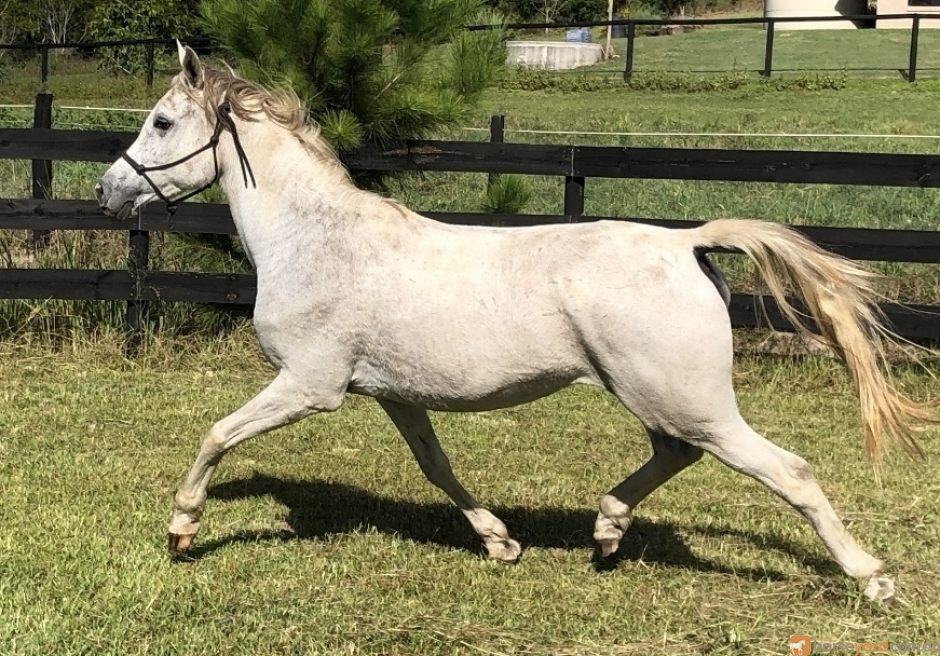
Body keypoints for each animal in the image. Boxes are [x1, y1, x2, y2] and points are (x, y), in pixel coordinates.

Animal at [95, 44, 932, 600]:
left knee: (786, 470)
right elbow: (437, 467)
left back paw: (871, 578)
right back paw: (606, 533)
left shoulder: (308, 384)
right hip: (663, 398)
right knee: (675, 455)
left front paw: (182, 530)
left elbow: (216, 435)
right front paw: (501, 544)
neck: (314, 240)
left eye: (162, 122)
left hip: (690, 400)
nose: (108, 193)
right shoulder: (395, 395)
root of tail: (685, 242)